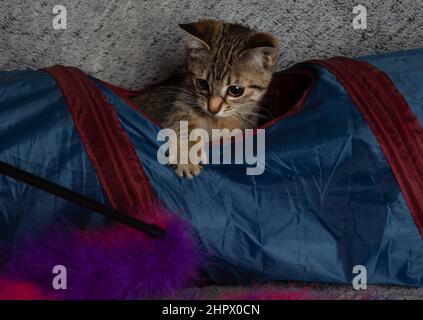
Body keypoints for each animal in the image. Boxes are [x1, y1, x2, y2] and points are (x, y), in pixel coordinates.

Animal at [131, 20, 280, 179]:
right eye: (202, 83)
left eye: (235, 90)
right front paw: (187, 159)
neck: (216, 121)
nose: (212, 108)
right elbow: (182, 125)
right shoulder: (181, 104)